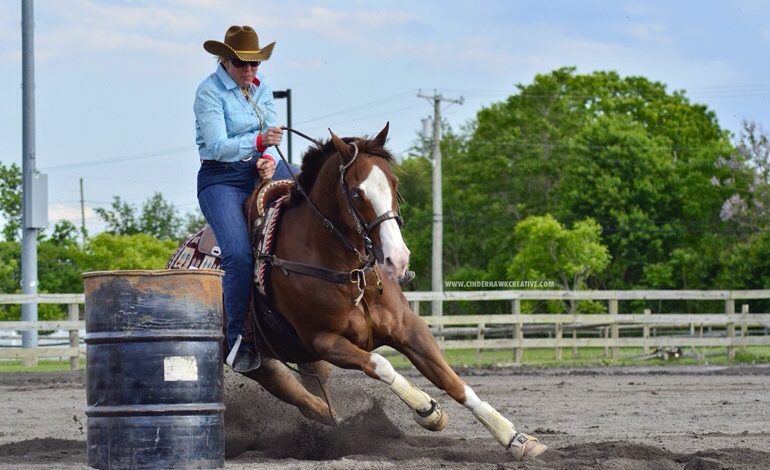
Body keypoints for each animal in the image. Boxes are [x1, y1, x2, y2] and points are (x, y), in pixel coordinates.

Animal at [166, 124, 544, 458]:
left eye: (394, 183)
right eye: (355, 193)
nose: (397, 259)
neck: (351, 273)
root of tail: (177, 258)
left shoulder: (409, 329)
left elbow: (454, 382)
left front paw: (515, 437)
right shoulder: (325, 341)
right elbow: (382, 364)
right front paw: (427, 408)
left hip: (302, 360)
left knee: (313, 397)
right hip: (258, 360)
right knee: (308, 401)